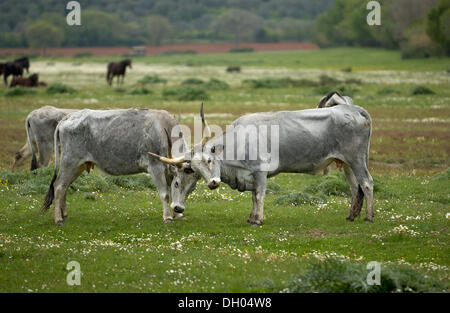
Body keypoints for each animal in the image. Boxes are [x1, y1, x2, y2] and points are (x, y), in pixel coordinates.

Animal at [40, 108, 199, 225]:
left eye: (192, 188)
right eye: (178, 183)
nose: (179, 208)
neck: (164, 129)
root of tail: (66, 118)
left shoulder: (168, 171)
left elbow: (170, 193)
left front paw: (177, 215)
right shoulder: (156, 168)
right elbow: (165, 194)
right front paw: (168, 217)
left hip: (77, 166)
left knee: (65, 187)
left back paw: (64, 214)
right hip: (69, 162)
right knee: (59, 186)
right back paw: (58, 219)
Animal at [149, 101, 374, 225]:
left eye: (209, 160)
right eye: (195, 169)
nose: (213, 183)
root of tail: (354, 109)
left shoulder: (260, 172)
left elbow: (259, 195)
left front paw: (257, 219)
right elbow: (253, 197)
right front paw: (251, 217)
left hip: (356, 159)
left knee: (367, 184)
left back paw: (369, 216)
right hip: (346, 163)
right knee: (355, 187)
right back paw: (352, 215)